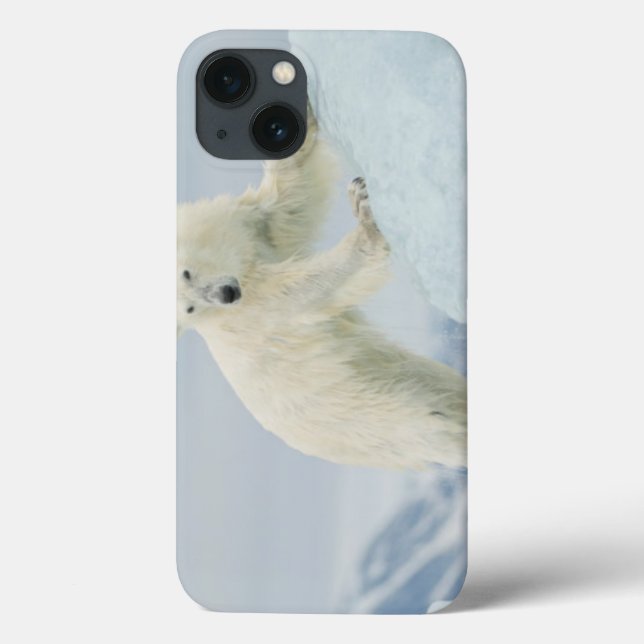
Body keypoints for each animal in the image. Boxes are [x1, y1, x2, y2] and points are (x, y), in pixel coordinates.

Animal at [177, 115, 467, 471]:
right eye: (189, 309)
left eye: (186, 273)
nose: (226, 294)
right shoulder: (259, 308)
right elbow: (310, 287)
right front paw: (363, 212)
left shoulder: (252, 229)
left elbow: (290, 201)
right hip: (375, 414)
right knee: (432, 414)